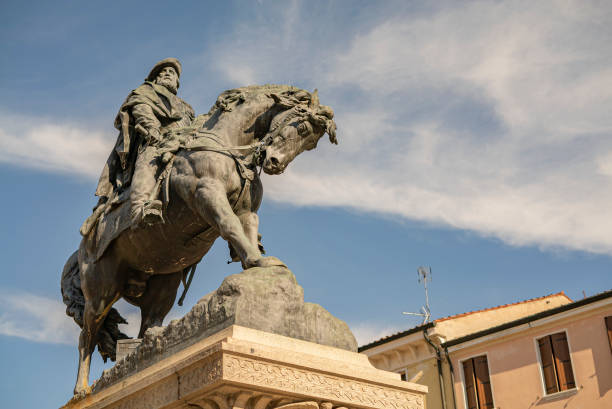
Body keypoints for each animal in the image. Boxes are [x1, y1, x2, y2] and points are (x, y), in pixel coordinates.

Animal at [59, 84, 338, 394]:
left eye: (311, 143)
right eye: (301, 127)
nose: (274, 163)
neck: (228, 144)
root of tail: (81, 249)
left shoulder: (246, 210)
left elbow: (244, 232)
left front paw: (257, 263)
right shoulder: (206, 194)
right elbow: (229, 226)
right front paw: (258, 262)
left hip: (163, 284)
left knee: (148, 324)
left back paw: (146, 353)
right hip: (101, 292)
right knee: (87, 336)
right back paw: (82, 390)